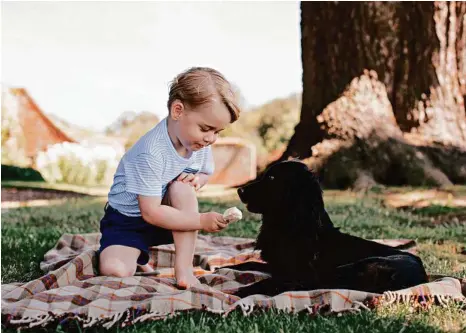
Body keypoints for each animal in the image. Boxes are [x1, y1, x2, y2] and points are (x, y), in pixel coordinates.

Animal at [228, 160, 428, 296]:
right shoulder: (277, 266)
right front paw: (226, 268)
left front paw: (237, 292)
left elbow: (269, 282)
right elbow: (249, 263)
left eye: (271, 178)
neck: (295, 225)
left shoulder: (298, 274)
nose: (239, 190)